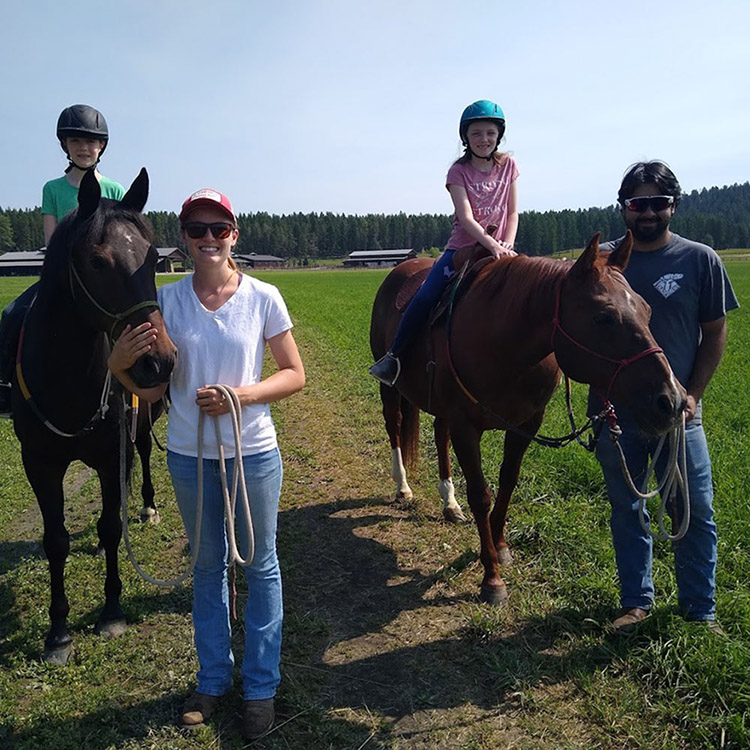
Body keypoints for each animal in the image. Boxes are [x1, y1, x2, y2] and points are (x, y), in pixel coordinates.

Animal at [11, 170, 176, 664]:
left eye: (152, 260)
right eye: (98, 262)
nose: (158, 362)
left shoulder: (108, 455)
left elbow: (110, 523)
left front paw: (112, 612)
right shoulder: (39, 463)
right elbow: (56, 540)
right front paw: (58, 633)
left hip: (140, 428)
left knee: (143, 457)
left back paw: (147, 505)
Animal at [370, 234, 688, 604]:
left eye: (646, 309)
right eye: (603, 317)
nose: (672, 400)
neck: (504, 339)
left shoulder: (525, 424)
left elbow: (508, 481)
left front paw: (498, 546)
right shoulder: (466, 426)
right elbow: (481, 495)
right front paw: (491, 577)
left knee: (439, 433)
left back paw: (449, 503)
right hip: (390, 388)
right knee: (394, 425)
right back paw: (403, 487)